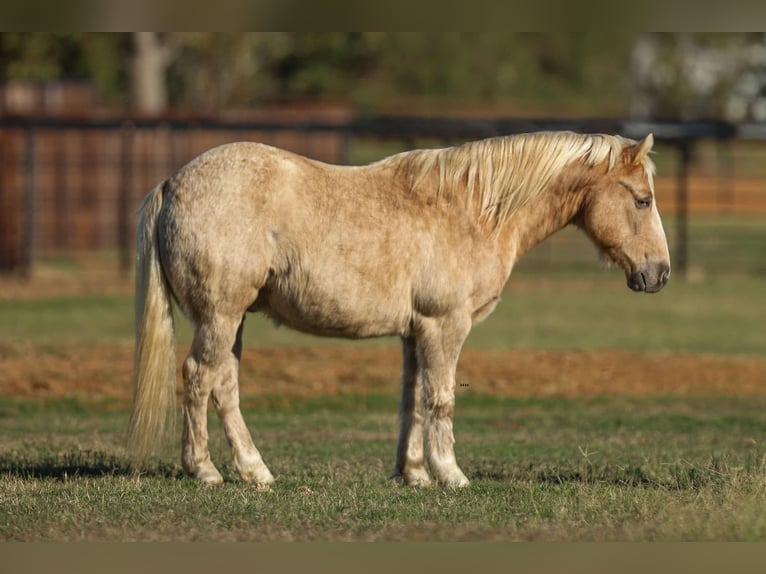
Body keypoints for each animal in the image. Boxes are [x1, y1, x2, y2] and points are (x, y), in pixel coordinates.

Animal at [130, 132, 672, 490]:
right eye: (643, 201)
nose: (660, 273)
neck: (473, 209)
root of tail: (172, 184)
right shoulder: (445, 325)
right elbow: (441, 398)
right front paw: (451, 475)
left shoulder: (416, 332)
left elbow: (414, 398)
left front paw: (413, 474)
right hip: (220, 316)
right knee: (199, 376)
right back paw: (205, 470)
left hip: (231, 319)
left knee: (223, 385)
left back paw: (254, 469)